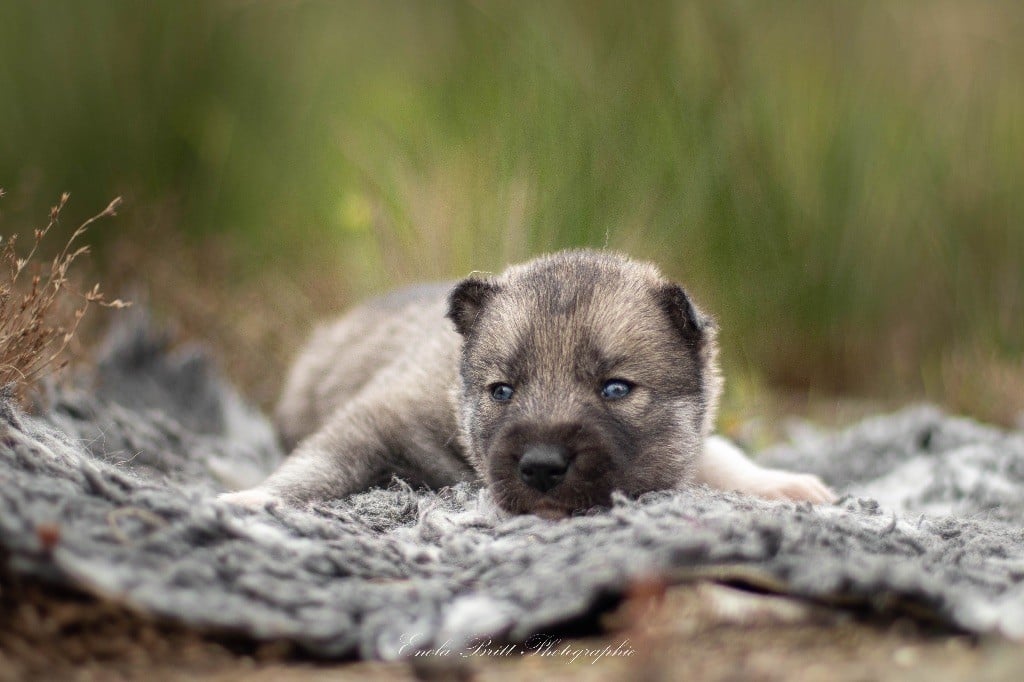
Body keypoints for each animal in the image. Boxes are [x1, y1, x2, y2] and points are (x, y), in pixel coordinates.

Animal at [223, 250, 834, 517]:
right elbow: (320, 463)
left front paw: (781, 483)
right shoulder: (375, 419)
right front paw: (253, 498)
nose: (541, 467)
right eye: (502, 391)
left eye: (615, 389)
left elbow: (716, 453)